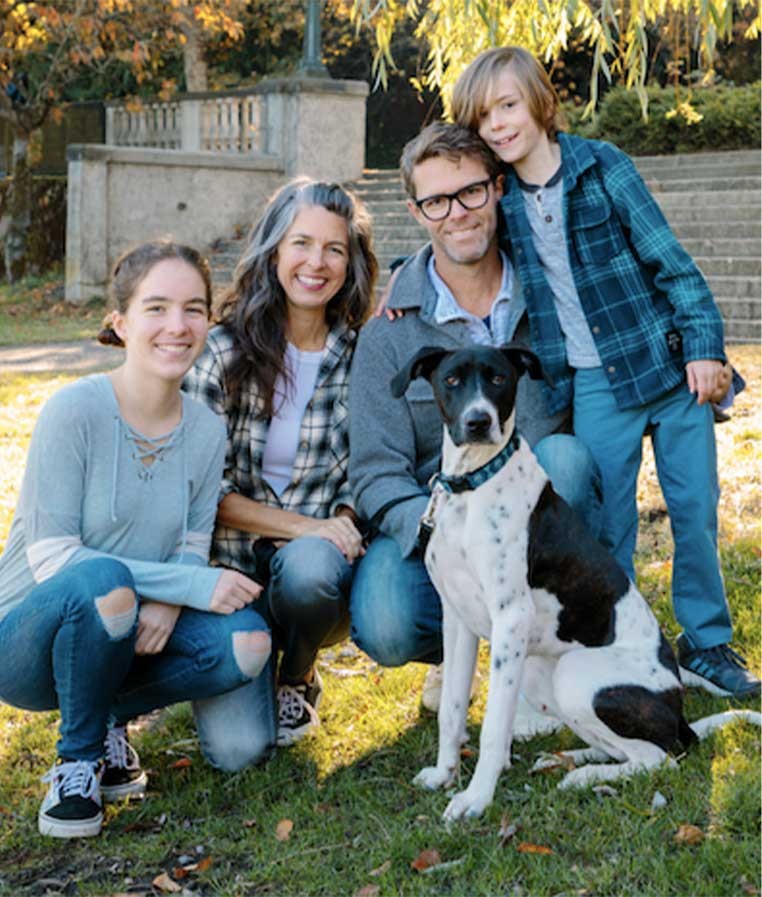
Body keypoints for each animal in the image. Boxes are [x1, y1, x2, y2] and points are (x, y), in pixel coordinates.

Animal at [388, 344, 756, 820]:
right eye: (451, 380)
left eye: (498, 379)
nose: (478, 422)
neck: (473, 486)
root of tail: (679, 714)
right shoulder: (458, 620)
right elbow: (451, 711)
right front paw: (444, 774)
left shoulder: (510, 619)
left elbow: (493, 728)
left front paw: (476, 798)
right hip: (537, 673)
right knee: (624, 749)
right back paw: (567, 759)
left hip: (575, 674)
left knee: (660, 758)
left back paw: (582, 776)